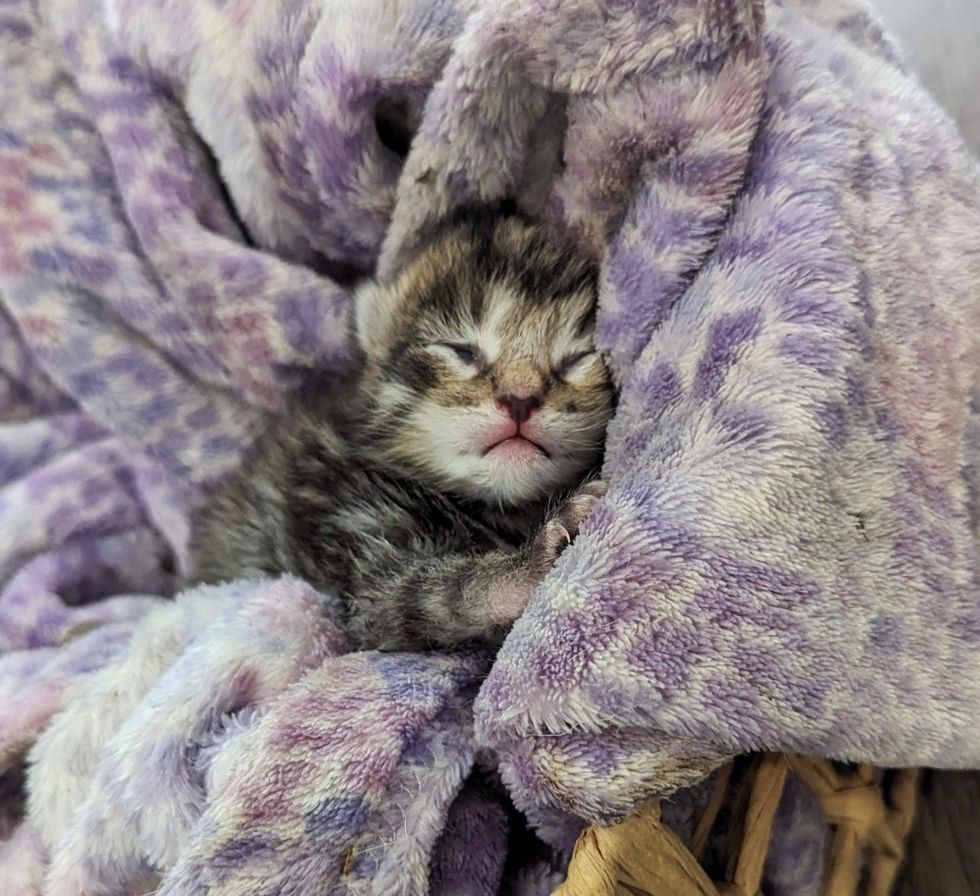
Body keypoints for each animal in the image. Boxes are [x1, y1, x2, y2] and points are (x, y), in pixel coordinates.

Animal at [193, 214, 612, 656]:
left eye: (575, 360)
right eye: (461, 351)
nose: (520, 399)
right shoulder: (349, 531)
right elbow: (418, 596)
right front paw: (529, 562)